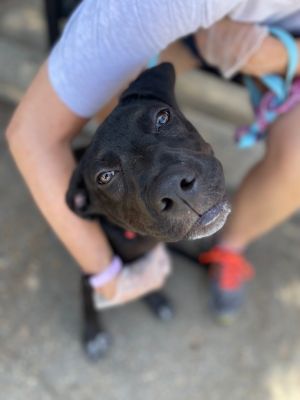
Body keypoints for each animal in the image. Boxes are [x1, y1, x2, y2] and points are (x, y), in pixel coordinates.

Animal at [66, 62, 230, 360]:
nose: (175, 188)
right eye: (105, 176)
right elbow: (89, 299)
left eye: (163, 118)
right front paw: (93, 336)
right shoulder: (92, 263)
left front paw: (157, 297)